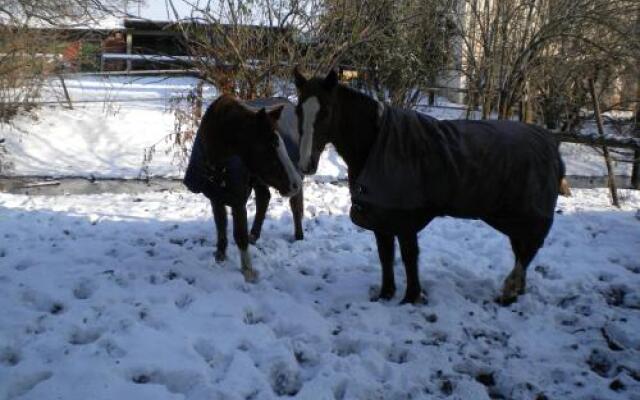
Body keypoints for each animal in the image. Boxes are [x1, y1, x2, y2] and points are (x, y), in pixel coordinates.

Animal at [184, 94, 304, 282]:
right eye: (269, 145)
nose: (295, 184)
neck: (217, 167)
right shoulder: (215, 198)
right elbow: (221, 227)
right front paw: (220, 257)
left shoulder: (238, 201)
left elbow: (239, 234)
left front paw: (248, 272)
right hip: (259, 179)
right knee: (264, 198)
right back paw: (254, 235)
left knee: (295, 205)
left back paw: (298, 237)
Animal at [292, 69, 568, 306]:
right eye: (298, 111)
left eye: (326, 111)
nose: (306, 163)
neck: (375, 143)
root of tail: (551, 144)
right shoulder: (379, 215)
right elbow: (385, 255)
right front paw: (385, 294)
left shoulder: (404, 218)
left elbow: (409, 256)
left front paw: (410, 297)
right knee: (522, 249)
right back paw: (516, 291)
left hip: (525, 215)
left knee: (528, 250)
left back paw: (510, 290)